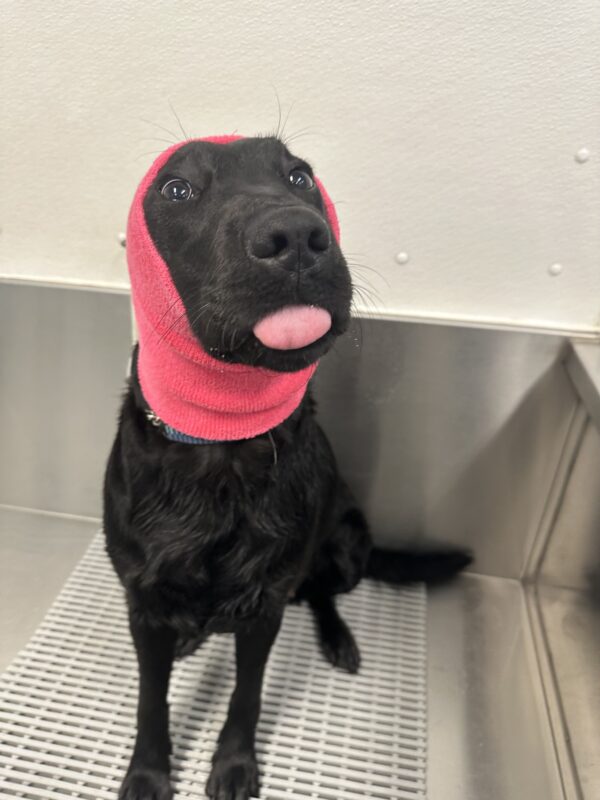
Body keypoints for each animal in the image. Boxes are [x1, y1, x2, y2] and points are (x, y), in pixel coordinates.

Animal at [103, 138, 468, 800]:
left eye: (300, 177)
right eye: (176, 189)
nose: (297, 235)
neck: (222, 451)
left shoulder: (264, 607)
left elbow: (246, 696)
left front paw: (234, 764)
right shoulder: (140, 603)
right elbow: (151, 698)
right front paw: (146, 771)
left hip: (346, 544)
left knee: (321, 591)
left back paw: (338, 638)